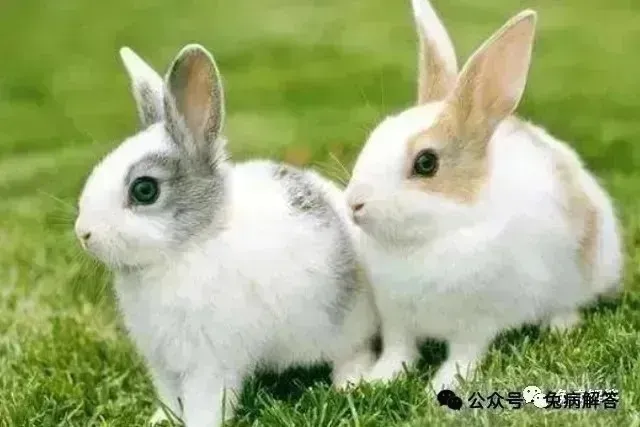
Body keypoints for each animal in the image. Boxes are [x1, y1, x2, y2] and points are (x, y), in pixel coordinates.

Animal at [74, 43, 379, 427]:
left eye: (144, 190)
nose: (83, 233)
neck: (190, 245)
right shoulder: (163, 363)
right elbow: (169, 398)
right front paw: (160, 420)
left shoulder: (210, 362)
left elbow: (205, 402)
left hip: (342, 324)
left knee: (355, 351)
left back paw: (347, 383)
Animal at [344, 0, 623, 393]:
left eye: (426, 163)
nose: (354, 203)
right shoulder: (397, 320)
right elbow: (400, 351)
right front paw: (378, 380)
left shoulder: (475, 324)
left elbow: (463, 356)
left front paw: (441, 388)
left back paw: (560, 325)